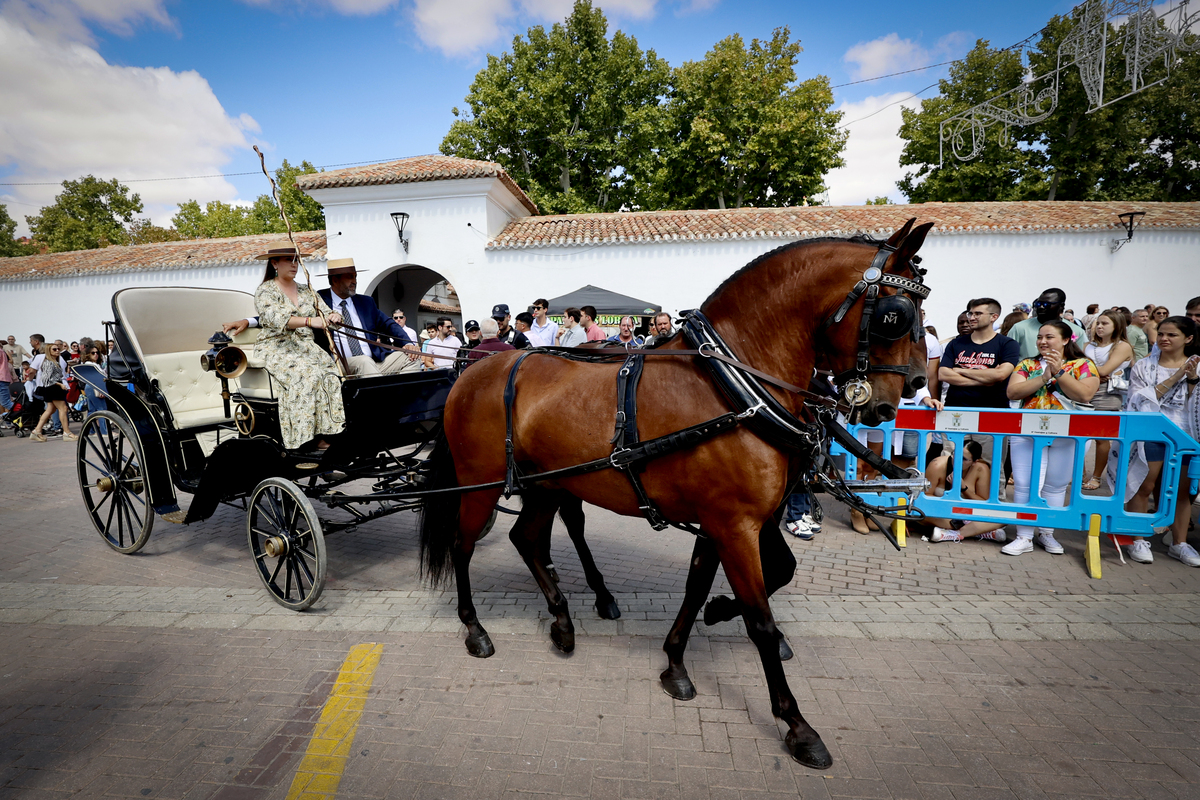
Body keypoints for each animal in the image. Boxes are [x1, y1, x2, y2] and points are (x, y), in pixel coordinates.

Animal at [422, 219, 936, 767]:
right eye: (896, 315)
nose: (900, 396)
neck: (734, 387)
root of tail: (473, 370)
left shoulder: (725, 522)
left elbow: (710, 587)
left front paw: (680, 657)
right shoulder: (734, 525)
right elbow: (760, 619)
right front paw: (796, 724)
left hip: (545, 485)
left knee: (527, 539)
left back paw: (562, 621)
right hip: (481, 485)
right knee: (462, 544)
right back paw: (476, 628)